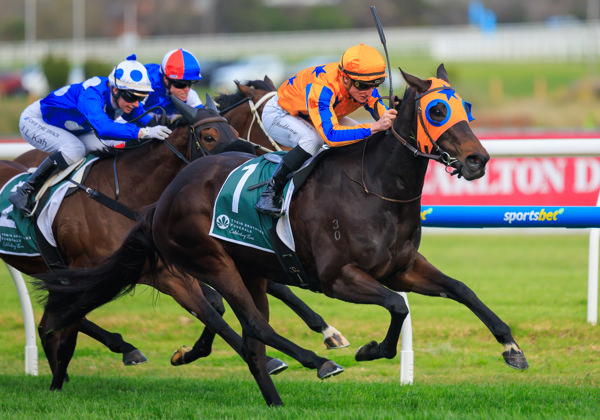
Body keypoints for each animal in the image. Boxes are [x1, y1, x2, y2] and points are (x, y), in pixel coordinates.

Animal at [35, 66, 528, 406]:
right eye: (437, 110)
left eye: (466, 108)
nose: (478, 160)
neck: (374, 186)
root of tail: (166, 196)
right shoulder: (337, 278)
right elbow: (396, 306)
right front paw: (370, 350)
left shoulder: (402, 267)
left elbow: (461, 290)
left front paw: (512, 347)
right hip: (212, 262)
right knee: (252, 324)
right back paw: (319, 361)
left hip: (250, 269)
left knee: (254, 337)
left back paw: (274, 398)